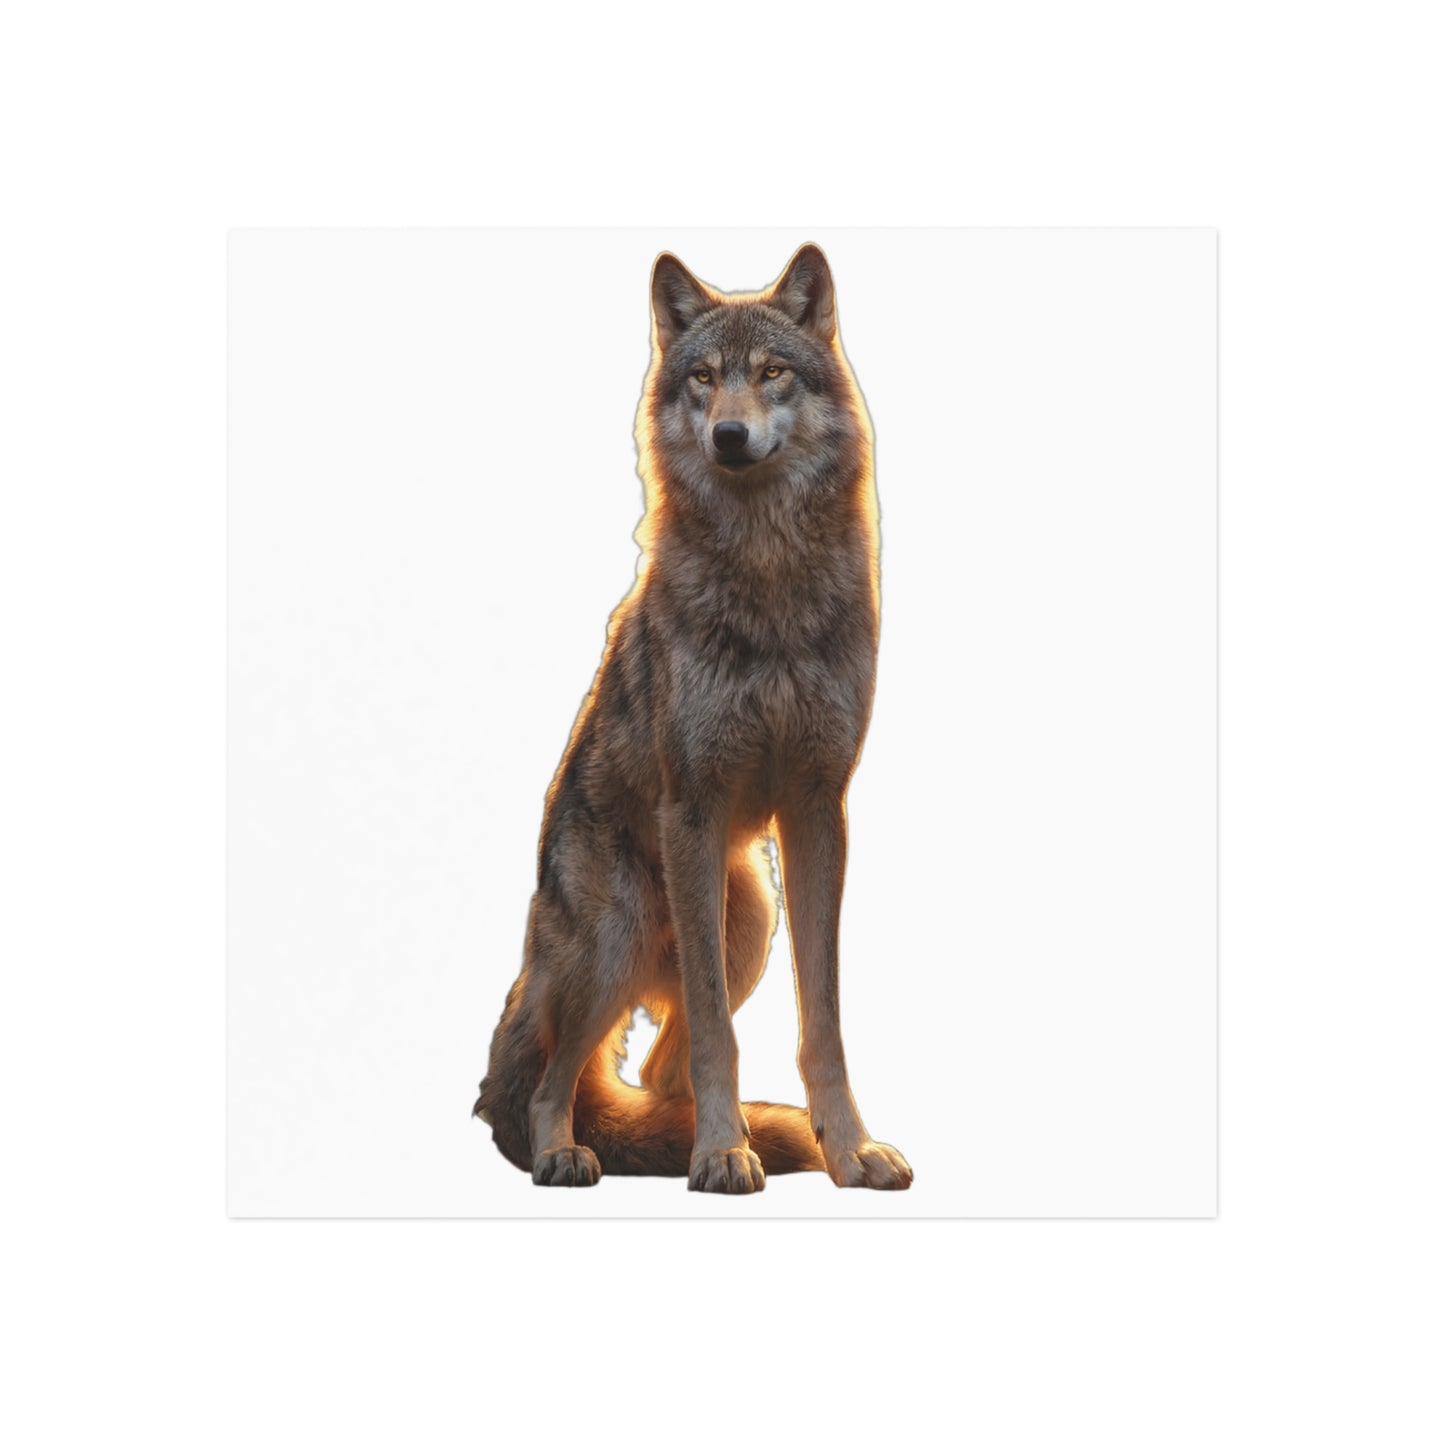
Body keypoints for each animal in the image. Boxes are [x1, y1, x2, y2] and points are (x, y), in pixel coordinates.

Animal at [474, 244, 911, 1193]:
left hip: (746, 919)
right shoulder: (695, 807)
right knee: (553, 1076)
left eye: (772, 372)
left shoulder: (818, 808)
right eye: (703, 377)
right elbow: (716, 1031)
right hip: (619, 935)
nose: (728, 437)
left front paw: (848, 1150)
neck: (768, 573)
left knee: (653, 1067)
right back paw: (569, 1151)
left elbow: (821, 1022)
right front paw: (719, 1153)